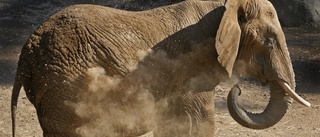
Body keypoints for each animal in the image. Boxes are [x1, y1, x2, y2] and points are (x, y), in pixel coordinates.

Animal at [10, 0, 310, 136]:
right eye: (270, 43)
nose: (237, 89)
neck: (224, 6)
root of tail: (26, 52)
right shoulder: (194, 69)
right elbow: (198, 123)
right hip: (66, 90)